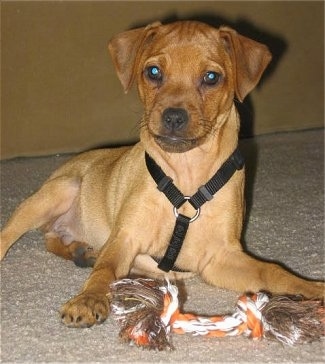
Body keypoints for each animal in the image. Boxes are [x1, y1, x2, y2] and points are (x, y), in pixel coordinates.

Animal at [1, 19, 322, 328]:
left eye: (211, 77)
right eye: (153, 72)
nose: (174, 117)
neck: (187, 177)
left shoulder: (219, 258)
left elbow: (272, 270)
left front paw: (311, 289)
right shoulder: (126, 238)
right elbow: (105, 270)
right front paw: (88, 299)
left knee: (58, 241)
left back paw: (84, 251)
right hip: (61, 189)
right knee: (9, 235)